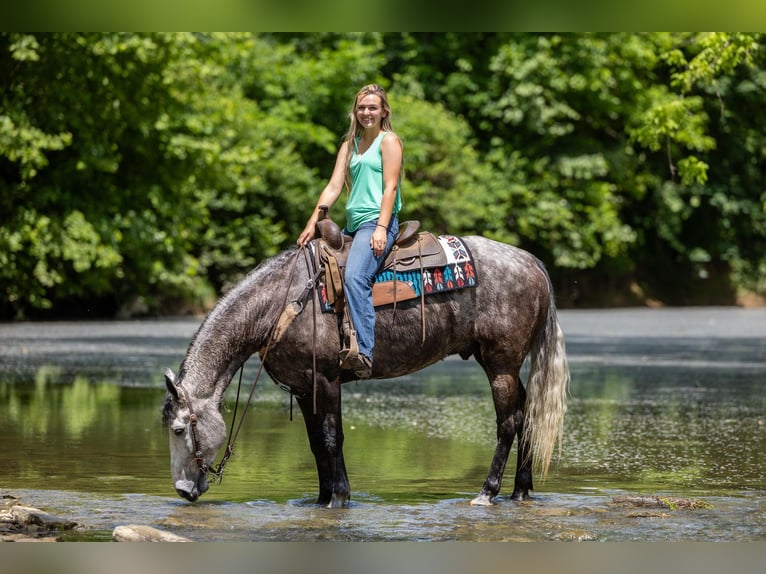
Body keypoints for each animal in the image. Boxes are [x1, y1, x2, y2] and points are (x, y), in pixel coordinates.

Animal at [162, 235, 568, 508]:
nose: (183, 490)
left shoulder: (326, 380)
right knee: (526, 414)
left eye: (180, 429)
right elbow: (315, 444)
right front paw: (321, 497)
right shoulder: (303, 387)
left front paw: (338, 498)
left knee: (508, 423)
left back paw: (488, 491)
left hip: (501, 363)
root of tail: (530, 261)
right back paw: (520, 489)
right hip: (499, 362)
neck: (284, 301)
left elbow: (331, 438)